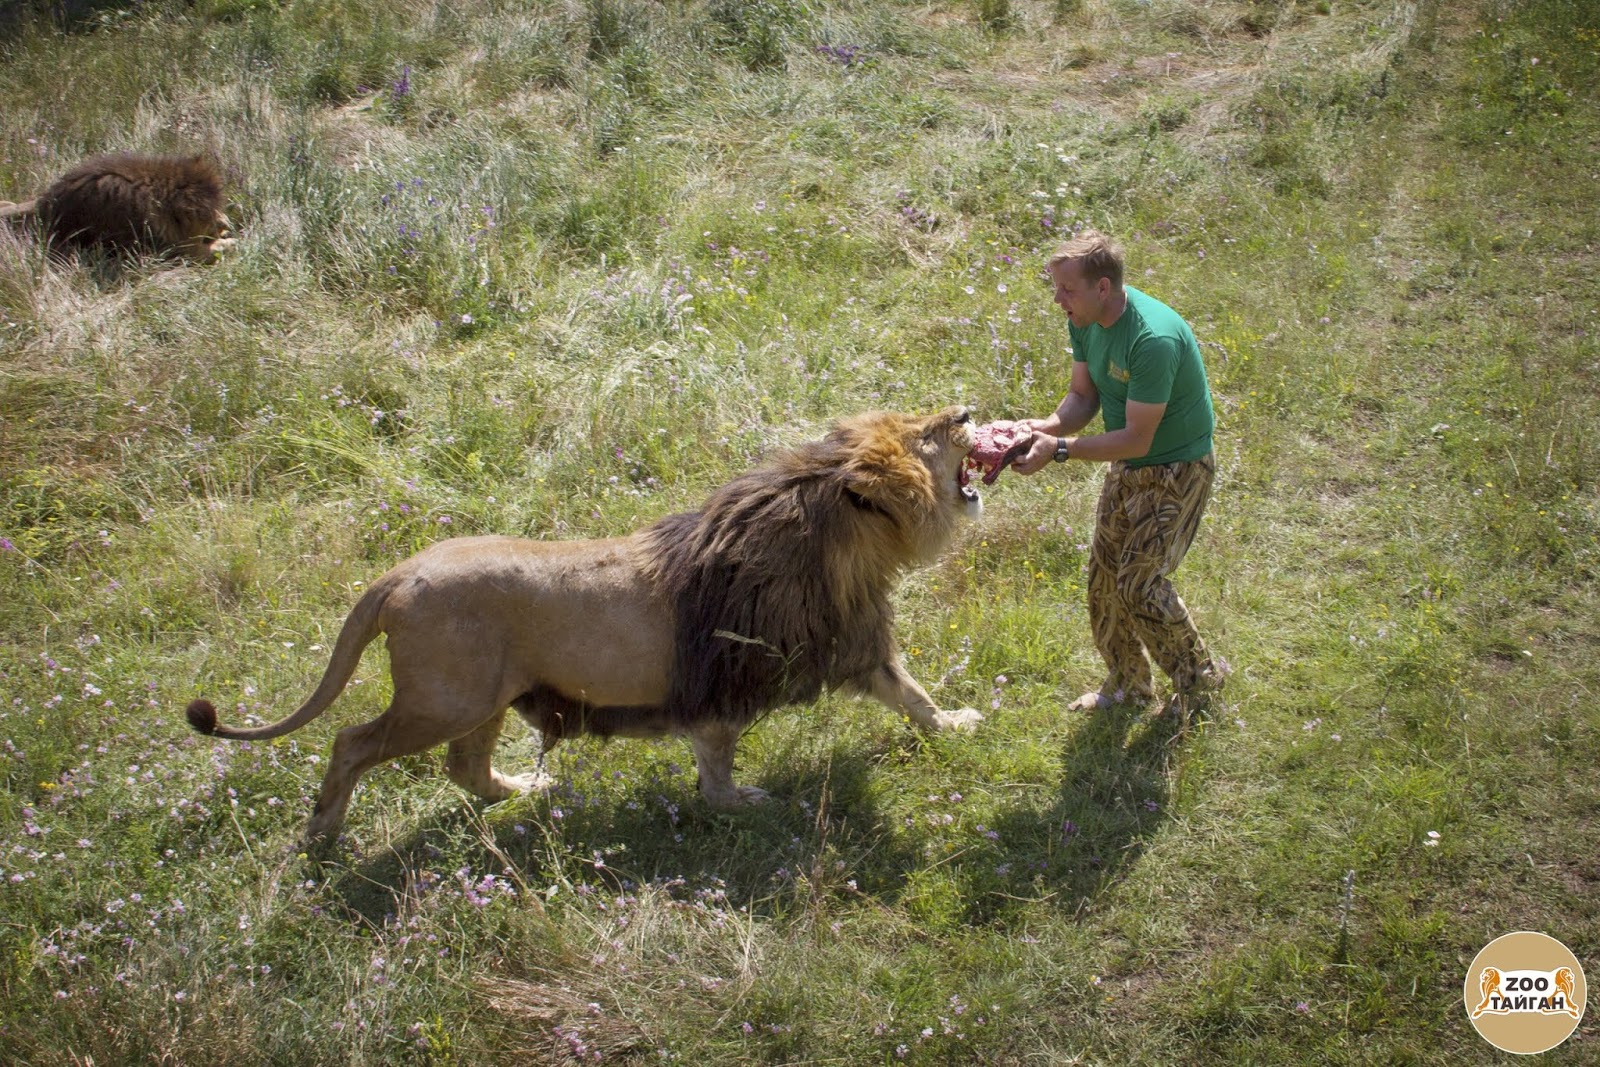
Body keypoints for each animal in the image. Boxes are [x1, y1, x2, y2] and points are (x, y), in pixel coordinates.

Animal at [0, 151, 233, 262]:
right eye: (209, 217)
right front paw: (230, 242)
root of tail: (46, 204)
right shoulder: (168, 250)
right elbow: (205, 251)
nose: (227, 224)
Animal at [187, 404, 985, 838]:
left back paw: (524, 792)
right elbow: (716, 759)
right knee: (352, 742)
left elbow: (913, 695)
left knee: (464, 767)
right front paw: (738, 804)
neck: (842, 545)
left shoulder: (855, 647)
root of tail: (398, 573)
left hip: (487, 697)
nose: (968, 411)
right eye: (925, 435)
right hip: (445, 698)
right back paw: (323, 831)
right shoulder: (719, 682)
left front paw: (958, 724)